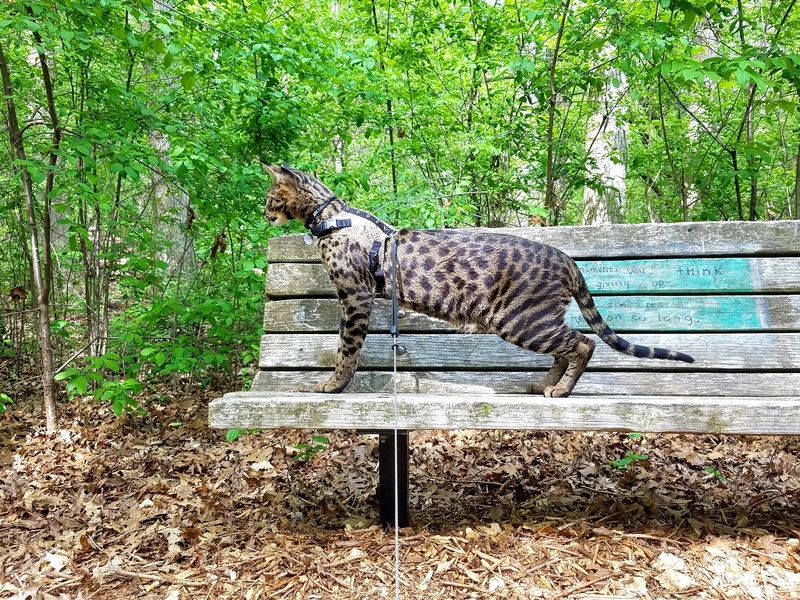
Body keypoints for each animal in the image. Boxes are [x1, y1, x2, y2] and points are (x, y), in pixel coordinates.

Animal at [262, 166, 692, 396]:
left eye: (268, 198)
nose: (265, 215)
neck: (328, 217)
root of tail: (567, 258)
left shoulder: (355, 296)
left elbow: (347, 348)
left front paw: (334, 385)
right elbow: (344, 345)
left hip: (522, 321)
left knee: (583, 343)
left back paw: (560, 388)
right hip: (535, 321)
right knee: (568, 347)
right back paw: (543, 384)